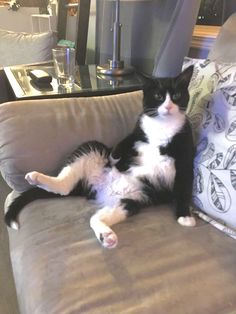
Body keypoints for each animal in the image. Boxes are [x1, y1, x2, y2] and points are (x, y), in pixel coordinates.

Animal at [5, 65, 195, 249]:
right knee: (65, 183)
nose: (168, 107)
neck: (163, 127)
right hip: (91, 148)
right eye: (158, 96)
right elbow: (125, 140)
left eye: (177, 95)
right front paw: (115, 155)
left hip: (131, 200)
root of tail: (98, 189)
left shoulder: (185, 155)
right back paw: (37, 177)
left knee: (95, 216)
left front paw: (184, 216)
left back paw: (107, 236)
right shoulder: (137, 132)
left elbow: (184, 185)